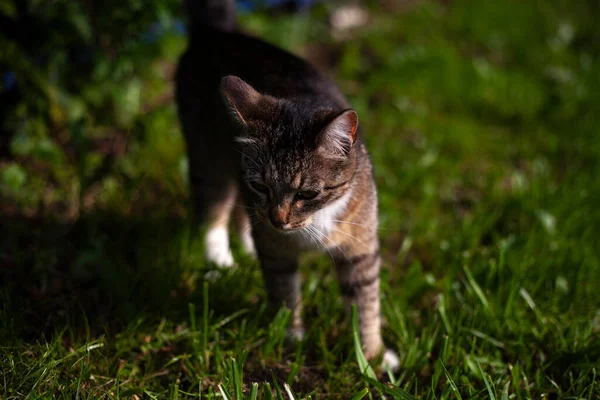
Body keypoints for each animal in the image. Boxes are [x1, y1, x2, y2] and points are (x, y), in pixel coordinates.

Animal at [175, 0, 398, 372]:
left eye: (307, 193)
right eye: (262, 186)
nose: (278, 219)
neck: (313, 222)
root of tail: (217, 33)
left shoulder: (361, 248)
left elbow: (366, 305)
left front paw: (372, 357)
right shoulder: (274, 245)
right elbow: (283, 290)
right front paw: (291, 336)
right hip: (209, 158)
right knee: (214, 209)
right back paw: (221, 260)